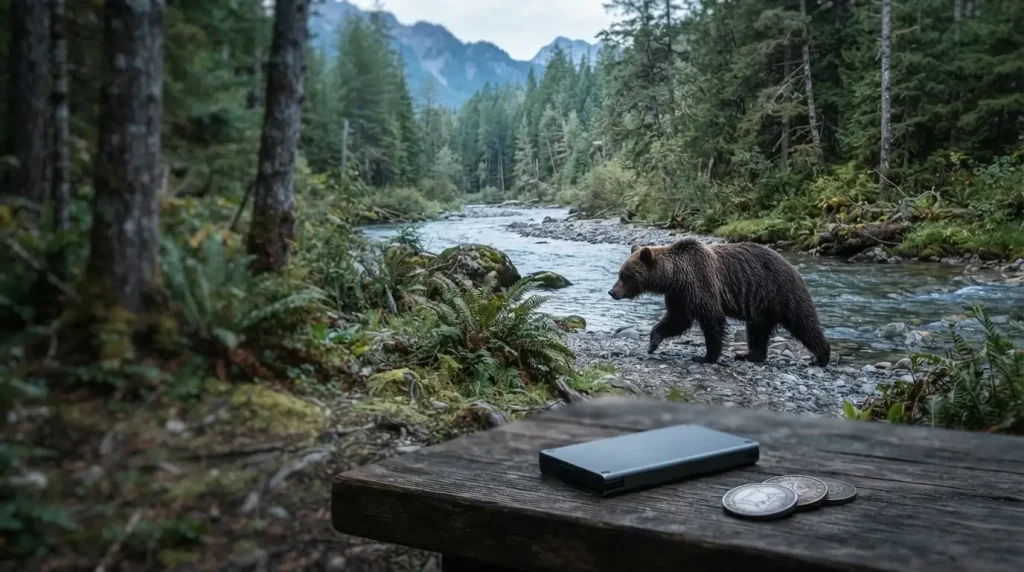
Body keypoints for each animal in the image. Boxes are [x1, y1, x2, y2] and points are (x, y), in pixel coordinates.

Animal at [607, 237, 831, 366]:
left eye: (624, 276)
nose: (611, 291)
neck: (674, 276)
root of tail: (792, 266)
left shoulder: (700, 282)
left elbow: (712, 319)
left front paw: (706, 357)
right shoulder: (679, 295)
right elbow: (677, 320)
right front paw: (653, 343)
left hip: (780, 291)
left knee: (803, 322)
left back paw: (821, 357)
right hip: (761, 306)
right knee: (758, 331)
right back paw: (749, 355)